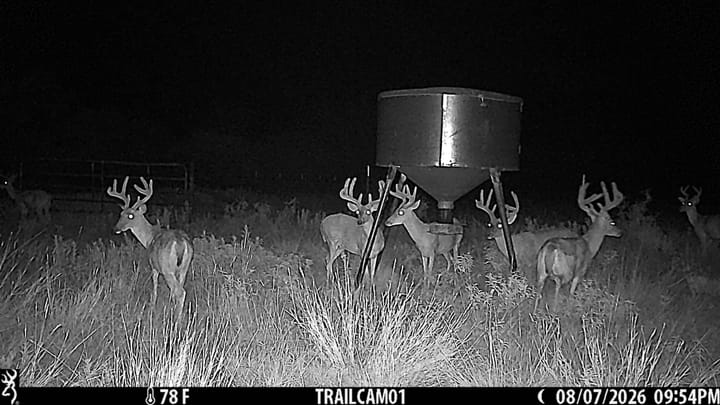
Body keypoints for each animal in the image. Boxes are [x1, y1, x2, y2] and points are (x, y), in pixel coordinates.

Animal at [107, 176, 194, 322]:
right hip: (184, 268)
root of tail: (180, 242)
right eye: (121, 213)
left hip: (167, 269)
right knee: (180, 289)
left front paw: (152, 306)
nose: (116, 229)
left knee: (180, 292)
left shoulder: (154, 266)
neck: (149, 238)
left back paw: (177, 321)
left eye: (131, 216)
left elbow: (154, 286)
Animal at [534, 175, 624, 311]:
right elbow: (572, 292)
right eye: (612, 222)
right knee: (557, 287)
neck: (590, 246)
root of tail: (549, 248)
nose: (619, 232)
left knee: (538, 291)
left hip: (540, 271)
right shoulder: (580, 272)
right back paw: (554, 310)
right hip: (564, 272)